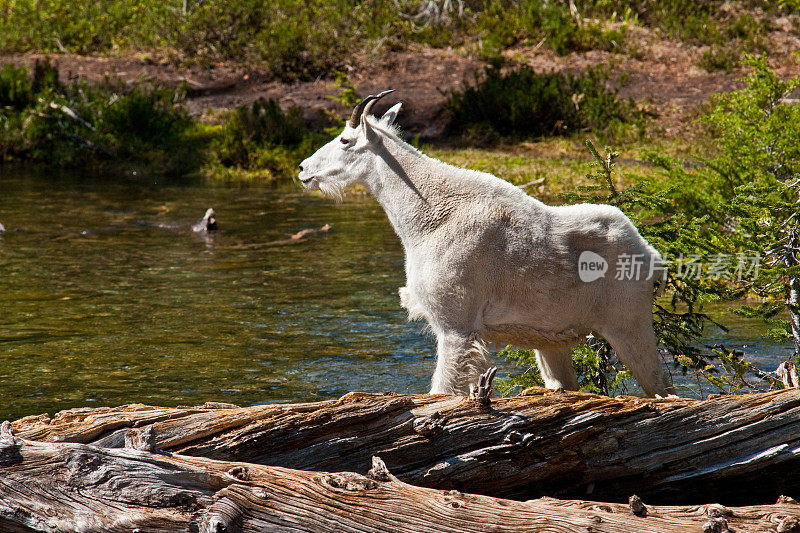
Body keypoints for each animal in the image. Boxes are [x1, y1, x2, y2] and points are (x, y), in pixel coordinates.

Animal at [296, 90, 672, 394]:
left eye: (345, 140)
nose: (303, 169)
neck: (426, 216)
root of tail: (653, 260)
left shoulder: (456, 325)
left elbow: (441, 392)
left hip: (628, 324)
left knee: (662, 389)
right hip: (551, 340)